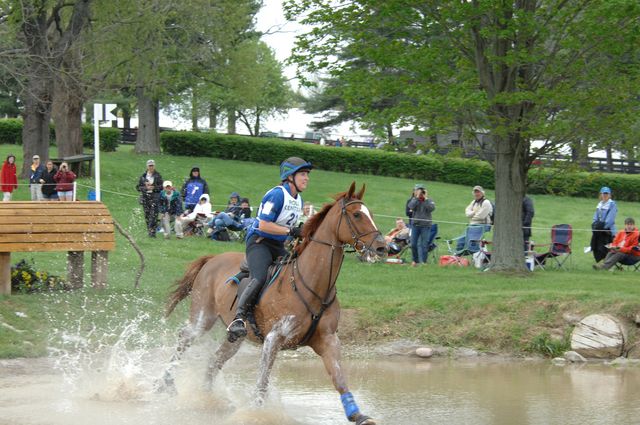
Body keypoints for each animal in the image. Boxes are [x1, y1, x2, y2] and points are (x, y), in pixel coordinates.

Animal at [162, 181, 388, 424]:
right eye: (356, 215)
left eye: (370, 214)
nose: (383, 247)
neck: (313, 284)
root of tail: (212, 259)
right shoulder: (273, 338)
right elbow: (262, 382)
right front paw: (255, 415)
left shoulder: (328, 340)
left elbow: (339, 378)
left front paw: (357, 414)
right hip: (203, 318)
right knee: (184, 339)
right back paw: (165, 384)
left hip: (235, 337)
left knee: (214, 361)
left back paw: (206, 399)